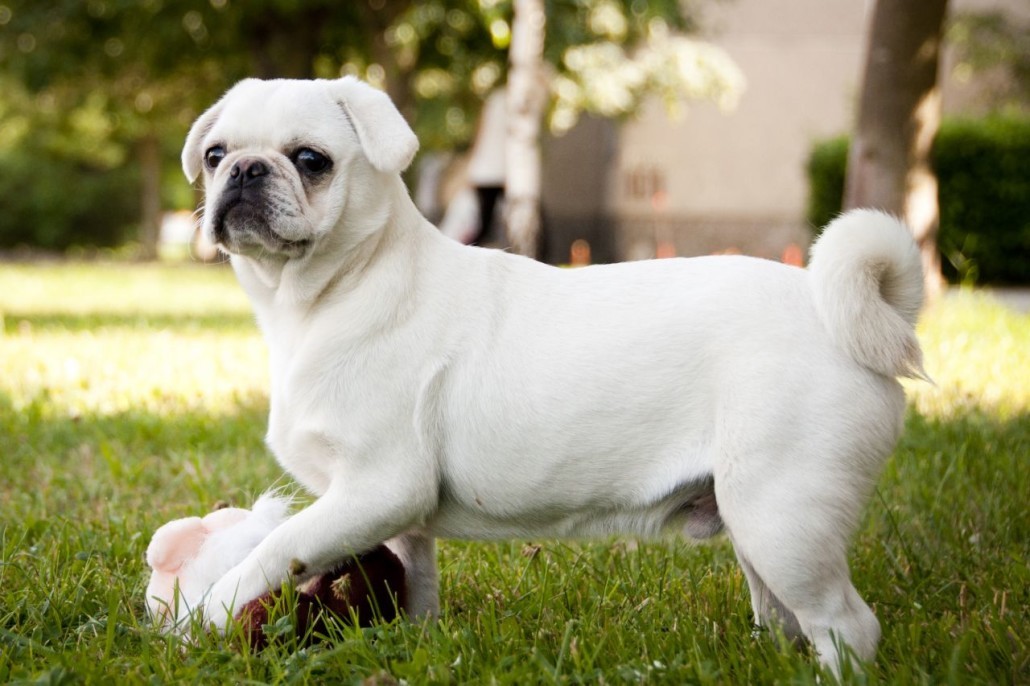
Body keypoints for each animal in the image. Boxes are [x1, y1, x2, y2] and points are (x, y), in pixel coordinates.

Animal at [181, 74, 931, 667]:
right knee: (783, 615)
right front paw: (416, 644)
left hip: (785, 519)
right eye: (215, 155)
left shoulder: (374, 487)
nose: (245, 170)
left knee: (847, 625)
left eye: (311, 160)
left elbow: (276, 549)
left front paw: (207, 610)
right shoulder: (394, 509)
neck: (325, 294)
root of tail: (840, 318)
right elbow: (416, 579)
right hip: (756, 521)